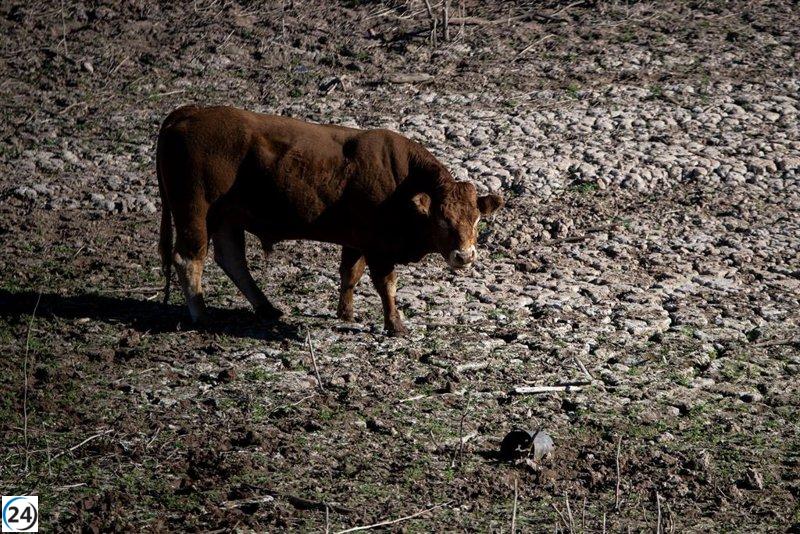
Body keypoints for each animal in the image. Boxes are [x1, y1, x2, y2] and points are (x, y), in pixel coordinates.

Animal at [157, 105, 503, 336]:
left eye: (475, 219)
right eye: (442, 219)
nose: (464, 256)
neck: (400, 181)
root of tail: (187, 113)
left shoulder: (356, 240)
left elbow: (350, 274)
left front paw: (345, 313)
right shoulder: (378, 247)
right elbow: (386, 285)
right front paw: (395, 325)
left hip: (226, 217)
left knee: (232, 259)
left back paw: (267, 308)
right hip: (195, 210)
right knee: (188, 258)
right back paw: (202, 315)